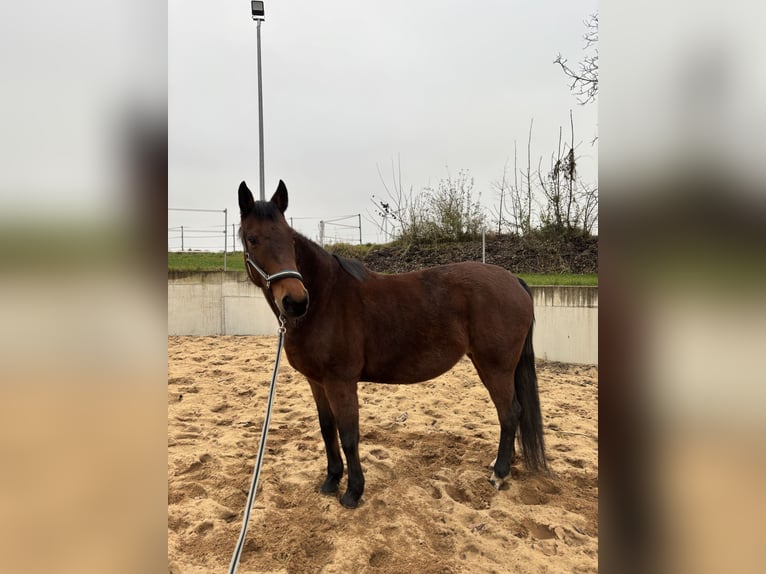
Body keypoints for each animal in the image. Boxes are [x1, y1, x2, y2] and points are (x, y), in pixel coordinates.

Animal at [238, 179, 544, 508]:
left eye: (290, 241)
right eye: (252, 239)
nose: (295, 302)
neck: (326, 299)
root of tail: (514, 281)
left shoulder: (340, 382)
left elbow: (349, 434)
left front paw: (353, 491)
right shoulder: (317, 382)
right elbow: (327, 428)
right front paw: (331, 480)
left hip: (495, 367)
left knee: (509, 413)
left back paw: (499, 473)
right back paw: (502, 465)